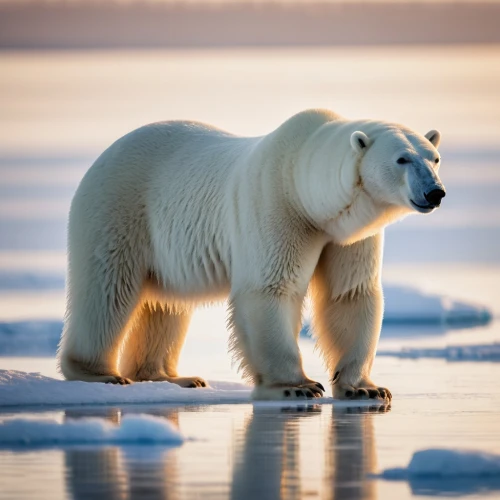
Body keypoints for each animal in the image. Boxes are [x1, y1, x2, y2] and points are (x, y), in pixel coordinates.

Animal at [58, 109, 446, 402]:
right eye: (402, 159)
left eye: (435, 158)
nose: (436, 192)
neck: (306, 192)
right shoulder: (277, 206)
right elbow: (270, 288)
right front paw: (297, 386)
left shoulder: (348, 237)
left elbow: (350, 293)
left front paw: (365, 389)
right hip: (119, 208)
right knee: (108, 290)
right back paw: (101, 374)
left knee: (166, 303)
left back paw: (171, 377)